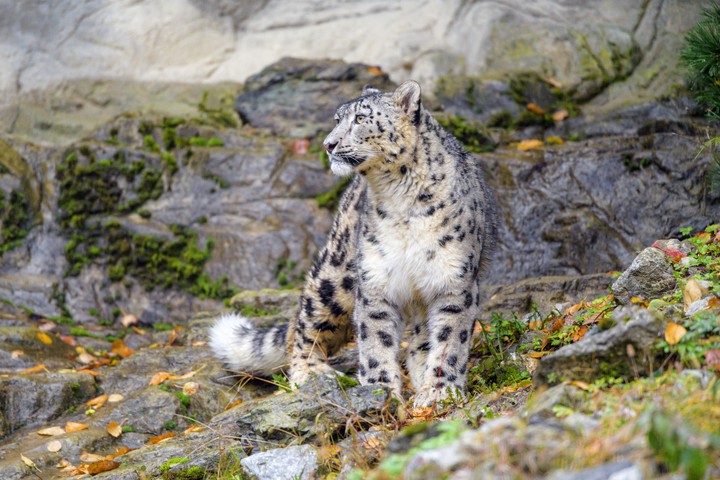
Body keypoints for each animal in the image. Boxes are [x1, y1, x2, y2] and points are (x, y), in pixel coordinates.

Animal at [210, 80, 497, 406]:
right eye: (337, 119)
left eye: (360, 119)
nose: (328, 144)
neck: (401, 200)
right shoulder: (375, 278)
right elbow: (375, 341)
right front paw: (380, 390)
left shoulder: (453, 280)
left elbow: (450, 340)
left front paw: (438, 392)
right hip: (337, 274)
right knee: (307, 322)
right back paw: (309, 372)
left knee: (422, 338)